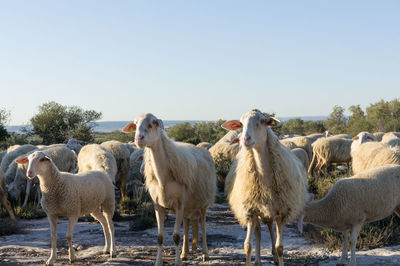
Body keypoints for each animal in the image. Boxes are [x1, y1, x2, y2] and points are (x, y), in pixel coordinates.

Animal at [122, 113, 217, 264]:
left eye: (153, 123)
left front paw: (177, 262)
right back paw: (184, 253)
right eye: (135, 125)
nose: (138, 138)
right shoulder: (158, 205)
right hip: (187, 206)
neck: (163, 178)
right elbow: (160, 237)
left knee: (203, 225)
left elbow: (176, 236)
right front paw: (158, 262)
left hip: (203, 202)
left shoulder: (178, 205)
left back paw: (205, 253)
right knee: (187, 224)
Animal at [222, 109, 306, 266]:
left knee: (270, 228)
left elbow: (280, 247)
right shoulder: (249, 210)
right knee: (259, 232)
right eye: (241, 124)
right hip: (258, 209)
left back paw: (273, 256)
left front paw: (278, 257)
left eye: (262, 121)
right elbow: (247, 246)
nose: (245, 139)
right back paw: (258, 260)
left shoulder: (282, 212)